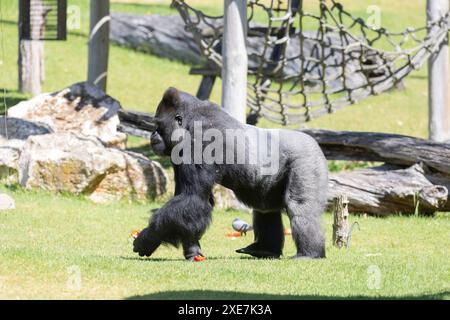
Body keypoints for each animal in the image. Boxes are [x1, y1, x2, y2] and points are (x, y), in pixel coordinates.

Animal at [132, 87, 328, 260]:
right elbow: (189, 202)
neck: (190, 120)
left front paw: (148, 237)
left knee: (300, 206)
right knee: (265, 207)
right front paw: (192, 250)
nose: (152, 135)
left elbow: (192, 197)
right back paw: (264, 249)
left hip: (307, 159)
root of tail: (314, 142)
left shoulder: (198, 142)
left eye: (158, 125)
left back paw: (309, 253)